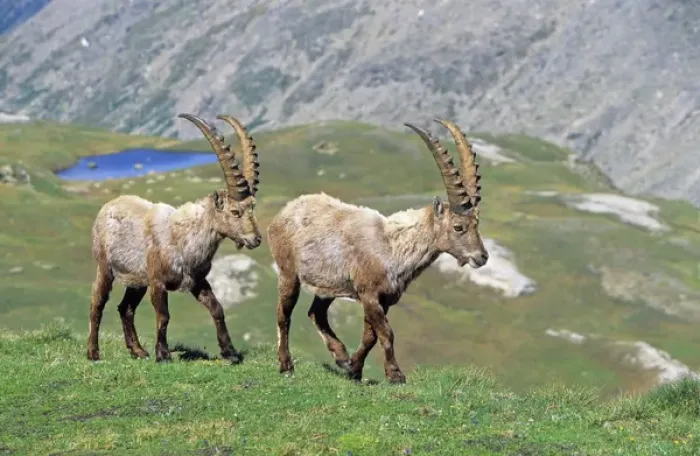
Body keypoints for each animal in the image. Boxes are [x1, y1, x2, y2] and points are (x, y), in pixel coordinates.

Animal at [87, 113, 262, 363]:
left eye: (252, 209)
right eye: (235, 211)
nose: (255, 239)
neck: (185, 240)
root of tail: (108, 206)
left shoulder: (198, 281)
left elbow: (217, 309)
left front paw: (230, 352)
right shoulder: (158, 281)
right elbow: (164, 316)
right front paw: (163, 354)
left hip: (138, 280)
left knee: (125, 308)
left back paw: (138, 351)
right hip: (106, 268)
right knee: (97, 303)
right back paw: (93, 352)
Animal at [267, 118, 489, 383]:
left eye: (477, 224)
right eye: (458, 227)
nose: (482, 257)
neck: (393, 247)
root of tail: (282, 214)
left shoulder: (385, 299)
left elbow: (370, 336)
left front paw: (354, 369)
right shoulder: (369, 293)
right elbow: (386, 333)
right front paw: (395, 374)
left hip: (327, 286)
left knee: (315, 313)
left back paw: (340, 356)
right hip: (288, 273)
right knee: (283, 315)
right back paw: (286, 365)